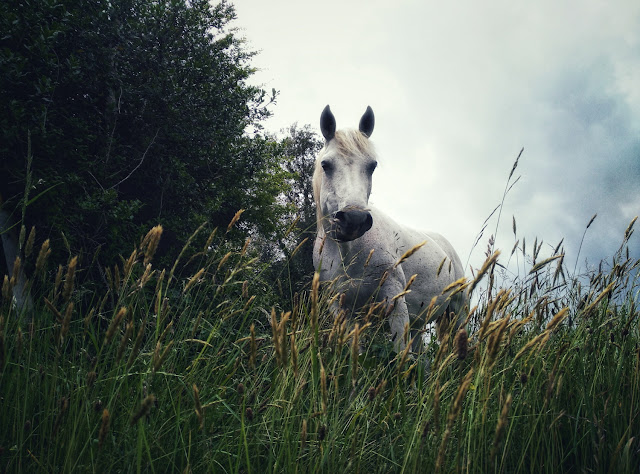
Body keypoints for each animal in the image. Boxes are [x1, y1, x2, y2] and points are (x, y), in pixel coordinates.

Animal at [314, 106, 468, 352]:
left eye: (372, 166)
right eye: (326, 165)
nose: (354, 219)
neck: (348, 253)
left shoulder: (394, 297)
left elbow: (400, 354)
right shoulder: (341, 308)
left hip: (458, 312)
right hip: (418, 323)